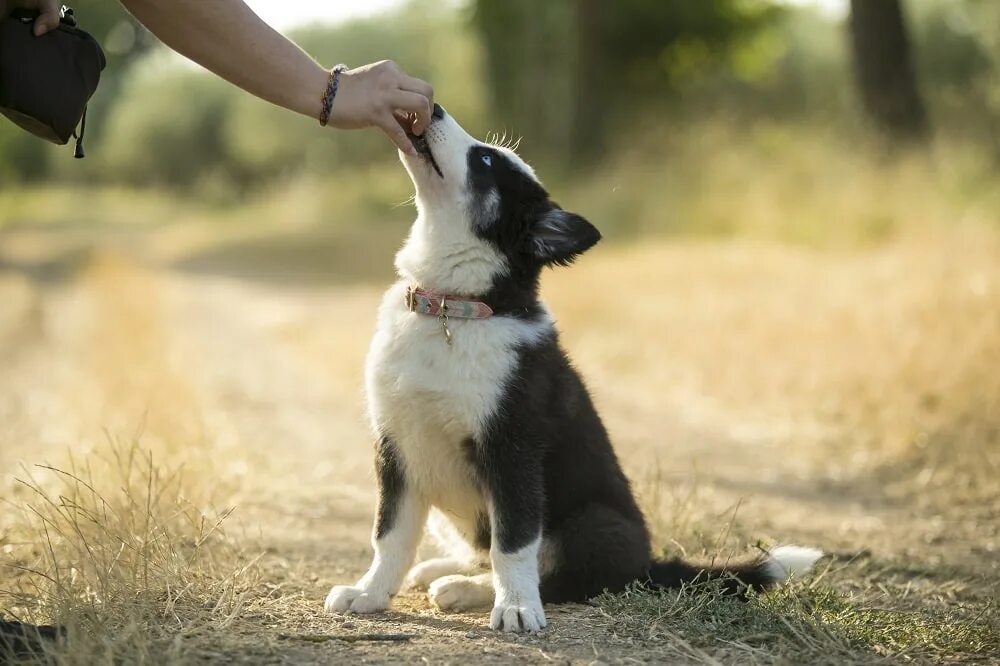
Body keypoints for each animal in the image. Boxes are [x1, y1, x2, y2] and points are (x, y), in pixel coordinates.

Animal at [328, 104, 820, 628]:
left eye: (485, 161)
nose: (434, 108)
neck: (452, 309)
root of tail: (648, 563)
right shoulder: (396, 445)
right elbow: (390, 536)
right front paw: (369, 594)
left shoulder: (513, 448)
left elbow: (514, 544)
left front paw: (516, 608)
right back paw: (446, 571)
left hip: (592, 524)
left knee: (559, 575)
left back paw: (467, 588)